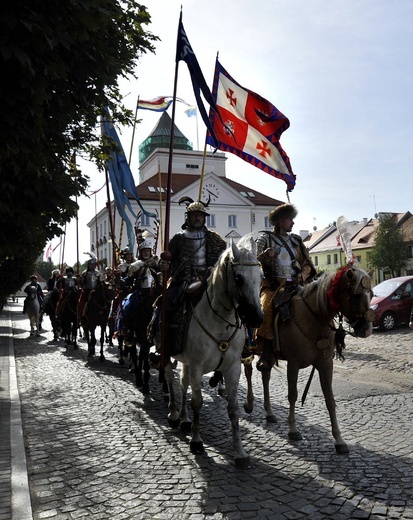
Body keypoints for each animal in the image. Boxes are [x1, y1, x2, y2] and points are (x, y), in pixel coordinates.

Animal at [163, 242, 262, 470]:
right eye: (238, 278)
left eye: (261, 276)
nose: (257, 318)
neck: (219, 323)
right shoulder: (197, 367)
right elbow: (197, 402)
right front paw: (196, 442)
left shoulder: (232, 368)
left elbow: (233, 409)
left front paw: (240, 452)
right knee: (171, 380)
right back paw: (174, 414)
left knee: (182, 384)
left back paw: (185, 419)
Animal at [243, 266, 374, 452]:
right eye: (356, 295)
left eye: (372, 293)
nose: (367, 330)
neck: (313, 317)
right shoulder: (293, 364)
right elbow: (292, 395)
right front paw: (293, 429)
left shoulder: (326, 365)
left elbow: (330, 400)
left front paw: (339, 440)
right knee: (247, 372)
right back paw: (249, 403)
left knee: (265, 375)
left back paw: (269, 413)